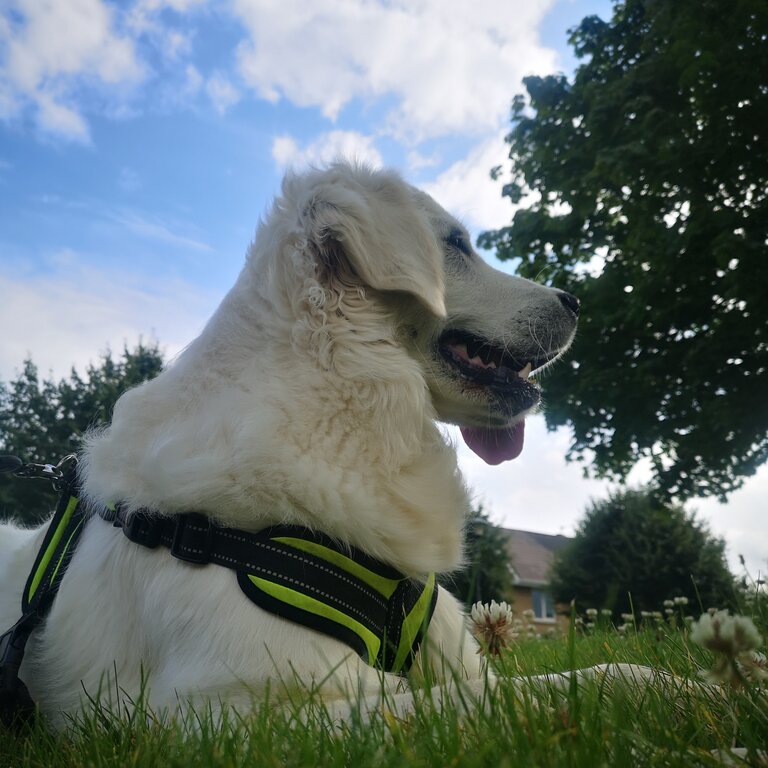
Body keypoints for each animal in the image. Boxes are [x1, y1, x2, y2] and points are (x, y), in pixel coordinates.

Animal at [1, 162, 588, 728]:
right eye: (457, 244)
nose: (575, 301)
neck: (336, 388)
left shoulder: (457, 660)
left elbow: (565, 679)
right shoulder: (234, 709)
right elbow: (478, 703)